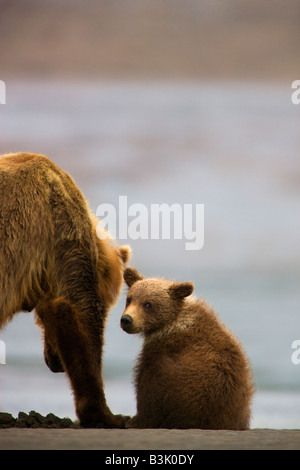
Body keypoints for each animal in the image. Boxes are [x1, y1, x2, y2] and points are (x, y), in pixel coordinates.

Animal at [120, 268, 254, 430]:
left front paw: (134, 420)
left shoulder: (162, 352)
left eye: (148, 304)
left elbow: (147, 387)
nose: (126, 320)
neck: (171, 323)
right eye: (129, 299)